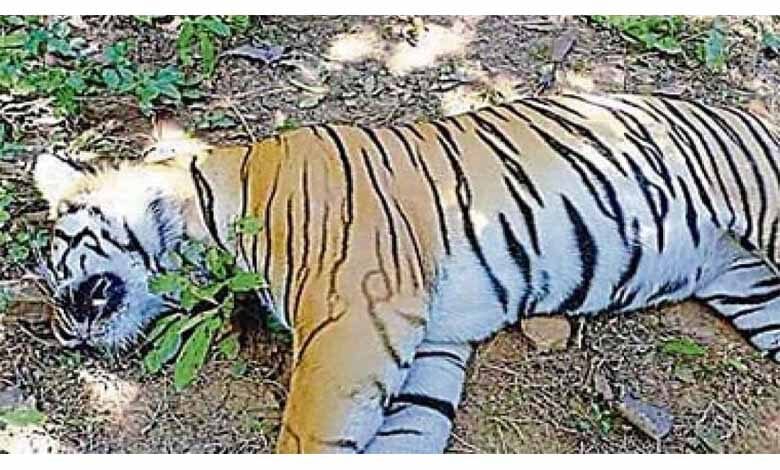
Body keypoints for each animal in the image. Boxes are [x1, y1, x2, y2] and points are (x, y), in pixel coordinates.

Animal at [32, 93, 780, 453]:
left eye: (55, 257)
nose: (62, 331)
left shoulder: (352, 320)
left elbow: (311, 436)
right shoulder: (433, 341)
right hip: (755, 290)